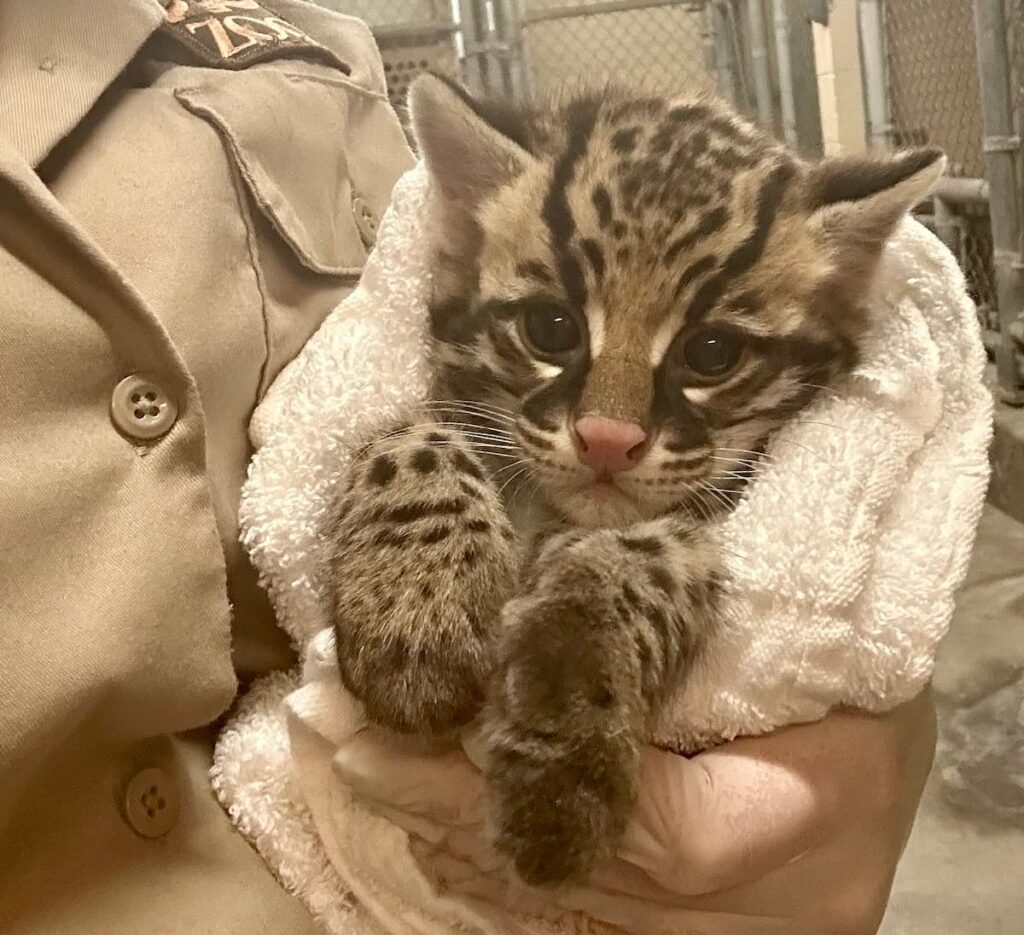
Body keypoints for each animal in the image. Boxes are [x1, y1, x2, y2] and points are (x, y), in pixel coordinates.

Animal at [327, 76, 942, 884]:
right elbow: (405, 438)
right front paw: (417, 614)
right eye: (551, 328)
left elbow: (637, 559)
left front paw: (564, 745)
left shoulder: (702, 524)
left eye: (710, 352)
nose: (608, 442)